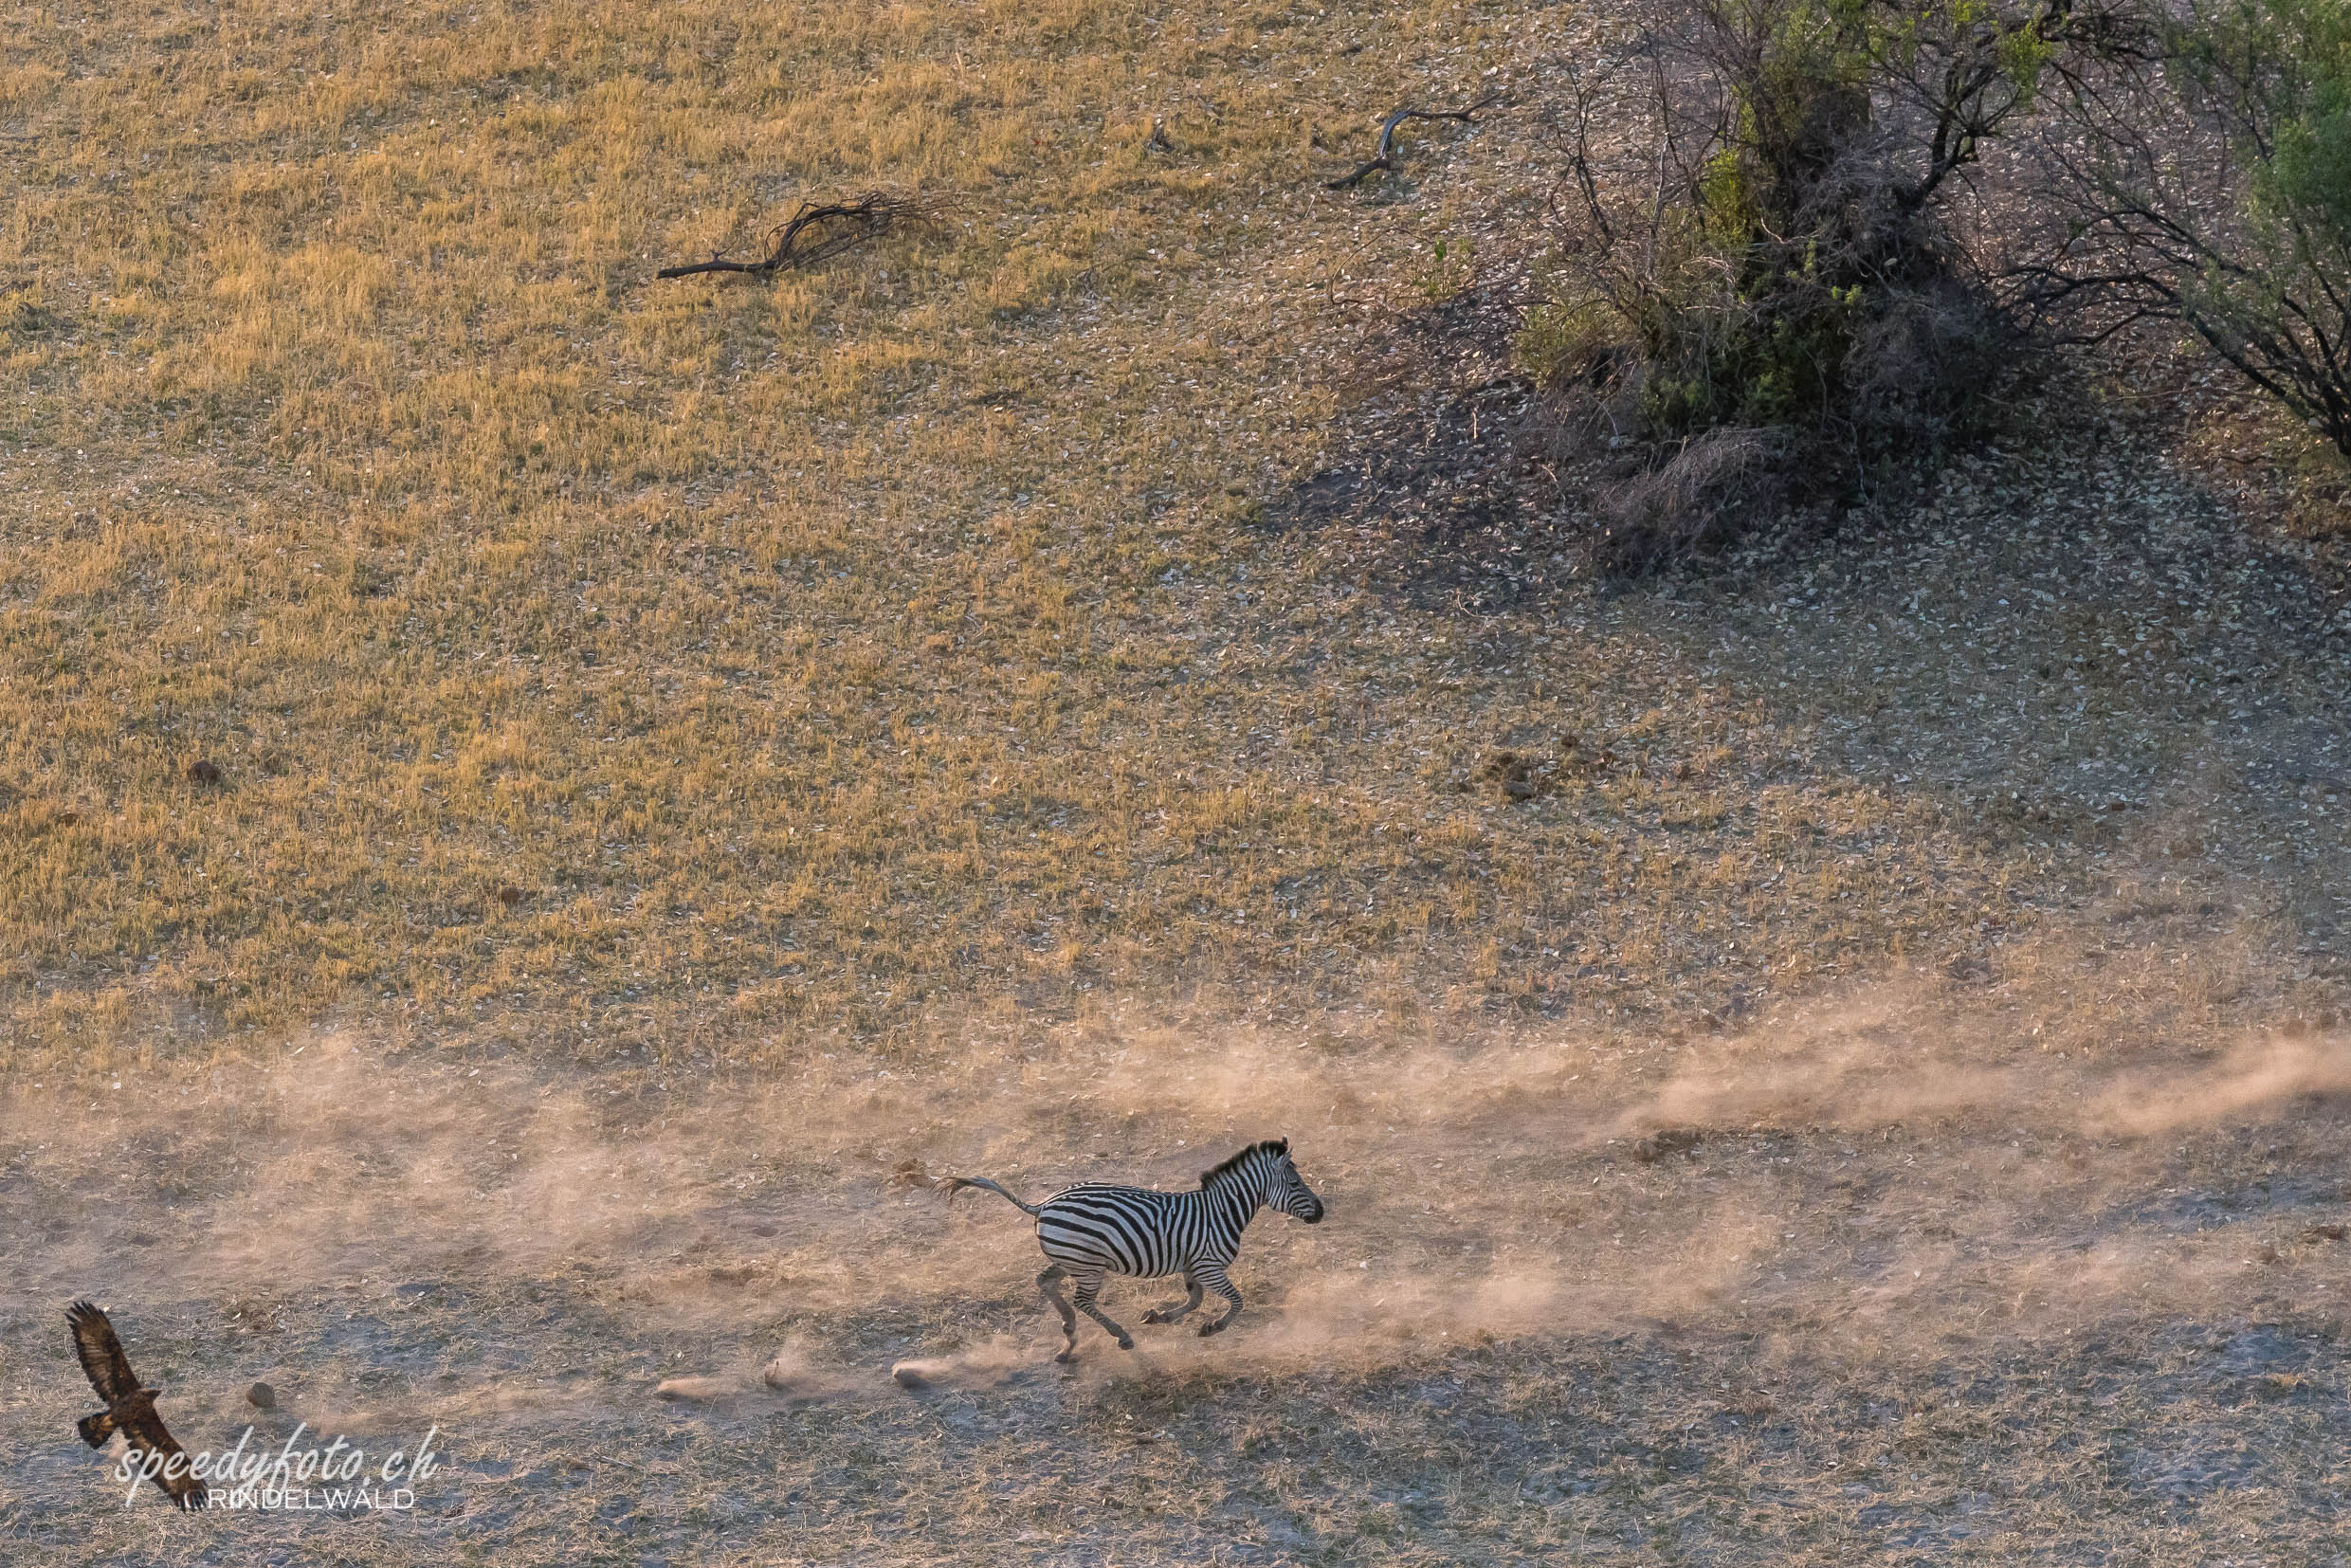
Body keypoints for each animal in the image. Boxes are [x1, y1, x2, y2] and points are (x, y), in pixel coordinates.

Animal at [944, 1142, 1335, 1363]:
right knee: (1083, 1301)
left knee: (1045, 1282)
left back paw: (1069, 1337)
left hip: (1070, 1258)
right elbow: (1237, 1301)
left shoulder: (1192, 1266)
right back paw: (1119, 1336)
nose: (1321, 1212)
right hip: (1088, 1265)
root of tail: (1042, 1204)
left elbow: (1193, 1301)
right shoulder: (1208, 1266)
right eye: (1295, 1183)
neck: (1223, 1211)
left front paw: (1159, 1317)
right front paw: (1213, 1328)